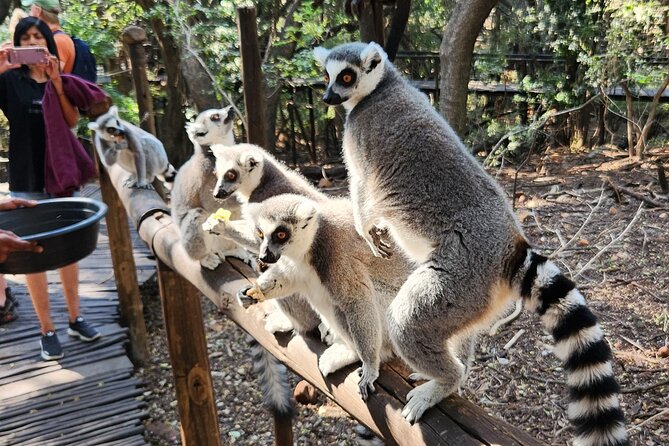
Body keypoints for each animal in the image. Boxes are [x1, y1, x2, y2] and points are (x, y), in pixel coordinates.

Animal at [236, 193, 413, 400]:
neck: (311, 243)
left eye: (281, 235)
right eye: (260, 234)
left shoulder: (337, 254)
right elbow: (288, 277)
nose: (264, 256)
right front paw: (250, 293)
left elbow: (356, 301)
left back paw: (352, 352)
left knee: (343, 308)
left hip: (393, 317)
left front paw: (370, 367)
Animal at [314, 42, 628, 446]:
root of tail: (510, 246)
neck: (385, 86)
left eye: (347, 77)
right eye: (327, 76)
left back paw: (445, 380)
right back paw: (447, 374)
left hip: (462, 273)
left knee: (406, 322)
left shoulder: (359, 134)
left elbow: (361, 190)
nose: (327, 97)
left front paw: (367, 230)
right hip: (474, 298)